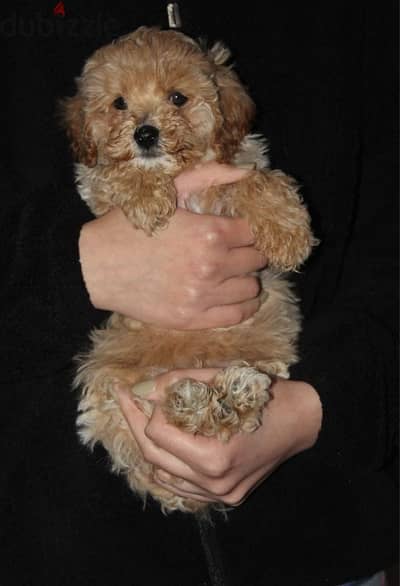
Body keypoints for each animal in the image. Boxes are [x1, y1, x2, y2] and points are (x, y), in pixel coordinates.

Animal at [61, 27, 316, 512]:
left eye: (177, 97)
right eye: (119, 103)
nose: (145, 134)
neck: (178, 173)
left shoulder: (234, 171)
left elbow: (257, 180)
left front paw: (287, 231)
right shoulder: (96, 186)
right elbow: (113, 174)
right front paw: (146, 193)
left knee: (233, 416)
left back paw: (234, 394)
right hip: (113, 382)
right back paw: (195, 400)